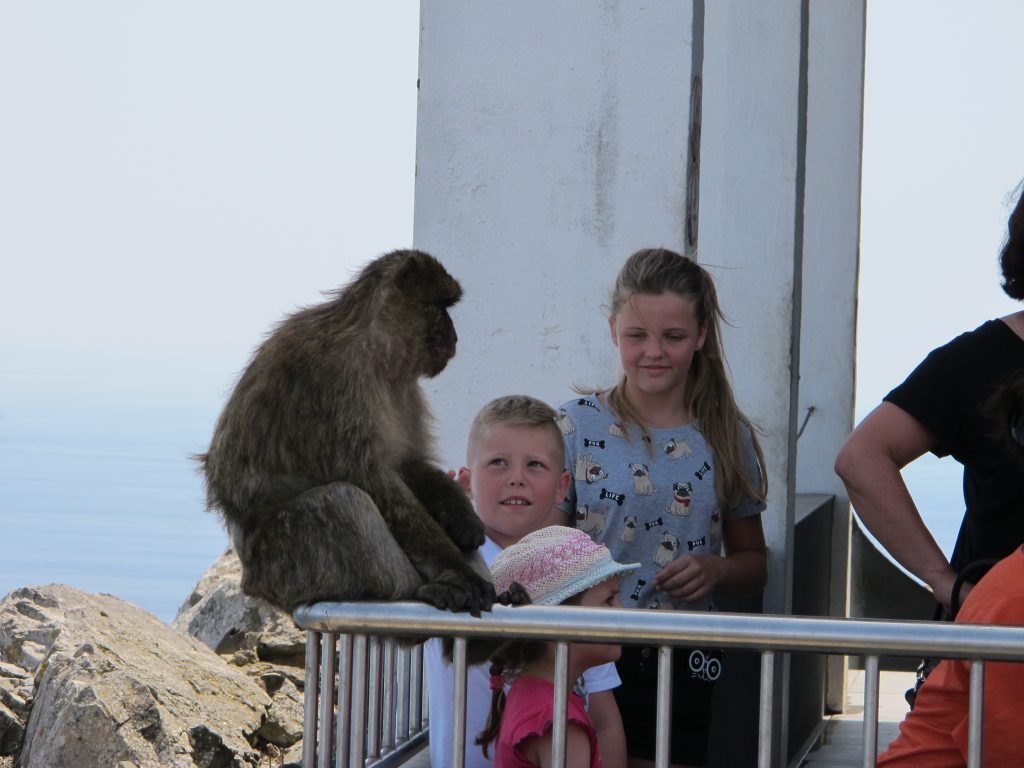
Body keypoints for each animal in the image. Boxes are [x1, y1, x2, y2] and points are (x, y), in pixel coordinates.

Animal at [198, 249, 495, 618]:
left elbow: (403, 463)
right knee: (340, 499)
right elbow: (369, 478)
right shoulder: (335, 378)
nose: (454, 337)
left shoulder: (405, 388)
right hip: (284, 565)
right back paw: (422, 590)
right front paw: (454, 569)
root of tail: (252, 584)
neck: (375, 349)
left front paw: (456, 508)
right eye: (441, 306)